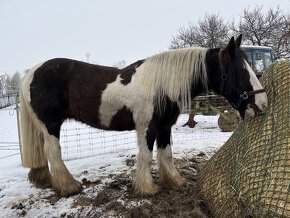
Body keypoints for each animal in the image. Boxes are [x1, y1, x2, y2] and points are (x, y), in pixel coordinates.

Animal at [19, 35, 268, 197]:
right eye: (240, 72)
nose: (263, 103)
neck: (162, 85)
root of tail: (31, 72)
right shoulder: (147, 128)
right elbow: (146, 156)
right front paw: (147, 188)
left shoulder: (165, 127)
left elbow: (167, 154)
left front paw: (175, 181)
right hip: (51, 125)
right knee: (53, 153)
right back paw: (69, 187)